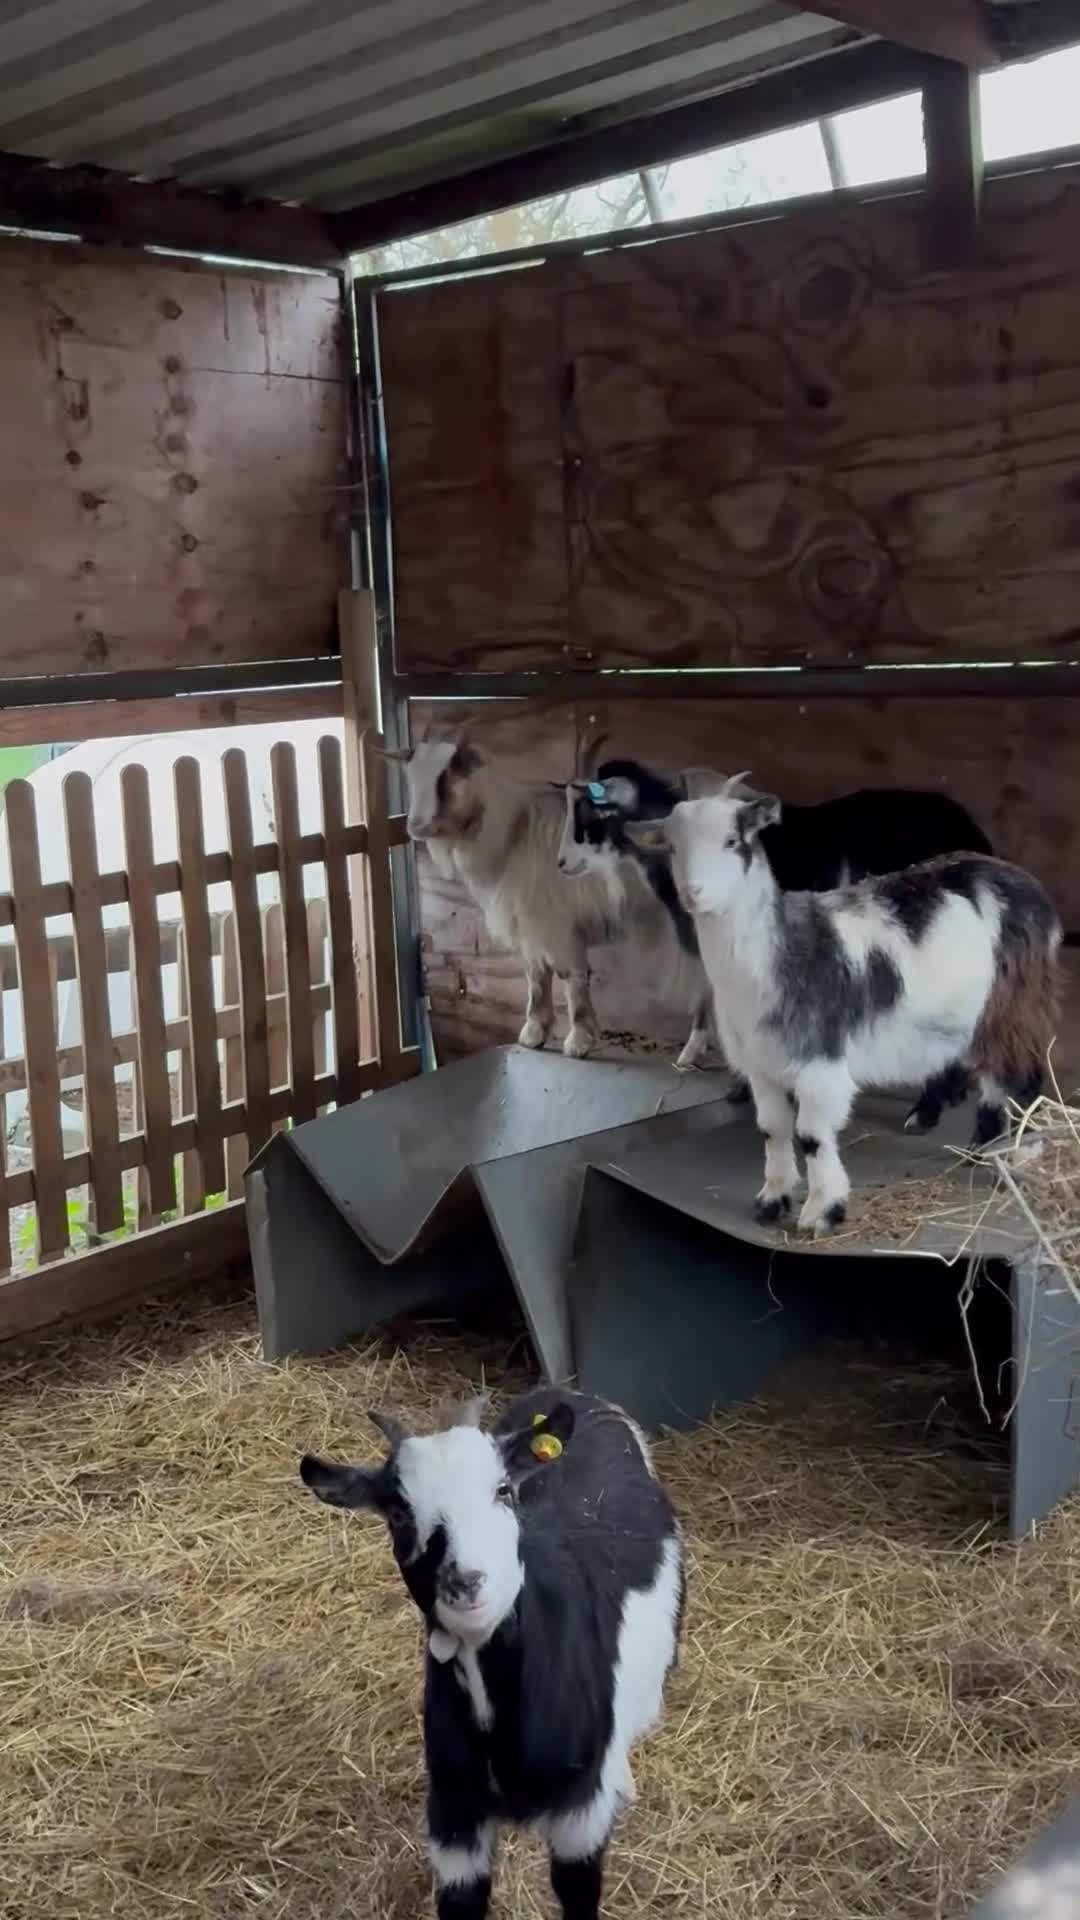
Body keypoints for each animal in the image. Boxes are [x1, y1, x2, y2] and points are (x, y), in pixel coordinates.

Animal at [300, 1389, 684, 1920]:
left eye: (502, 1490)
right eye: (398, 1513)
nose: (466, 1580)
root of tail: (571, 1394)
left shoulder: (579, 1822)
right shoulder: (454, 1819)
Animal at [389, 733, 662, 1059]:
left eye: (449, 776)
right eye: (409, 777)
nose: (416, 826)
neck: (514, 835)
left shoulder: (558, 924)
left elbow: (571, 977)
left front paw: (580, 1040)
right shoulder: (529, 924)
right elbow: (536, 977)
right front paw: (535, 1032)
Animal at [625, 776, 1061, 1238]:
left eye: (731, 841)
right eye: (673, 847)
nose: (693, 894)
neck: (773, 957)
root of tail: (1028, 886)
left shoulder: (820, 1062)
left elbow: (812, 1135)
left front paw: (823, 1212)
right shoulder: (762, 1064)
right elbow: (773, 1129)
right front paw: (772, 1201)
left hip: (1015, 1004)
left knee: (1019, 1074)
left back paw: (1010, 1152)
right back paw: (974, 1143)